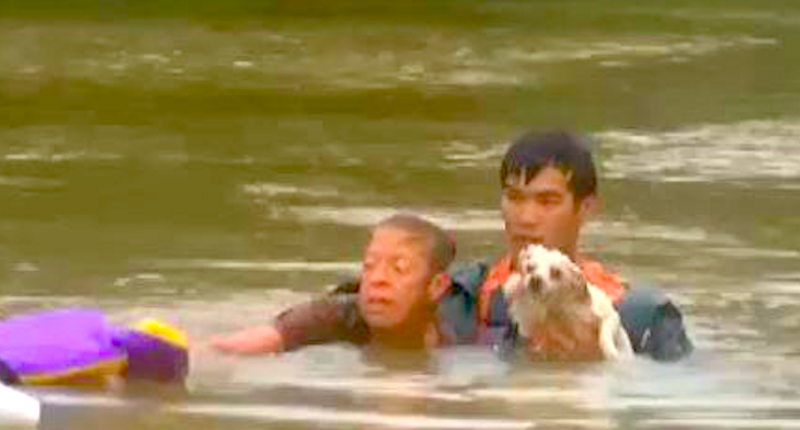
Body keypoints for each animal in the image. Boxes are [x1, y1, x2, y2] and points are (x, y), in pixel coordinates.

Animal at [504, 245, 636, 360]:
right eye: (530, 268)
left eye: (556, 272)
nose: (535, 279)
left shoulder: (610, 316)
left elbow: (605, 336)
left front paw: (611, 353)